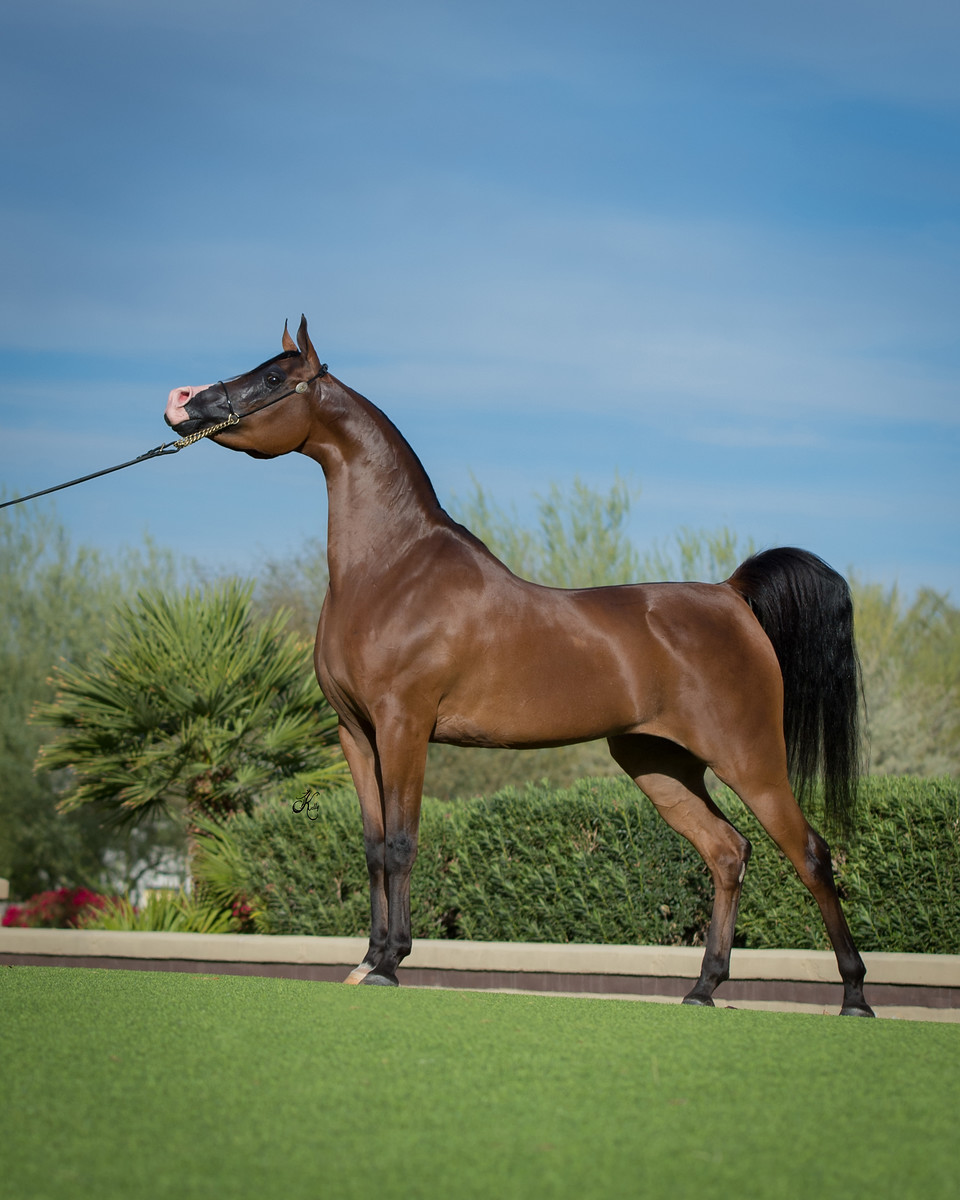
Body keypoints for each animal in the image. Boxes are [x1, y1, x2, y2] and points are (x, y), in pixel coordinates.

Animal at [165, 316, 874, 1016]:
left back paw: (854, 997)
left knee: (811, 854)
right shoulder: (356, 734)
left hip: (749, 758)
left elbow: (401, 843)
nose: (186, 404)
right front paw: (366, 961)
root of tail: (730, 595)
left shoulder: (404, 727)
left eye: (273, 378)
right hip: (659, 763)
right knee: (727, 852)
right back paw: (702, 989)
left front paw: (392, 964)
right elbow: (371, 848)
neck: (390, 570)